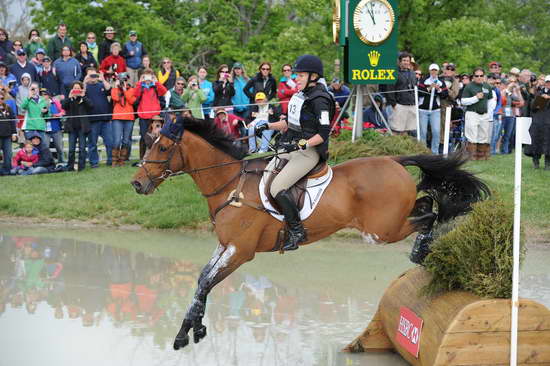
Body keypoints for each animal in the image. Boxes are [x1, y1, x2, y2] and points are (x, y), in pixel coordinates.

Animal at [130, 116, 492, 350]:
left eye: (162, 148)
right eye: (148, 143)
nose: (136, 184)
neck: (230, 184)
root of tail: (393, 159)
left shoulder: (241, 251)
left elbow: (206, 282)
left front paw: (185, 334)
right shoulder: (225, 245)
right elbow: (202, 281)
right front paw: (193, 328)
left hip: (382, 229)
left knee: (431, 211)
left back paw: (422, 249)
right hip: (388, 223)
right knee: (427, 201)